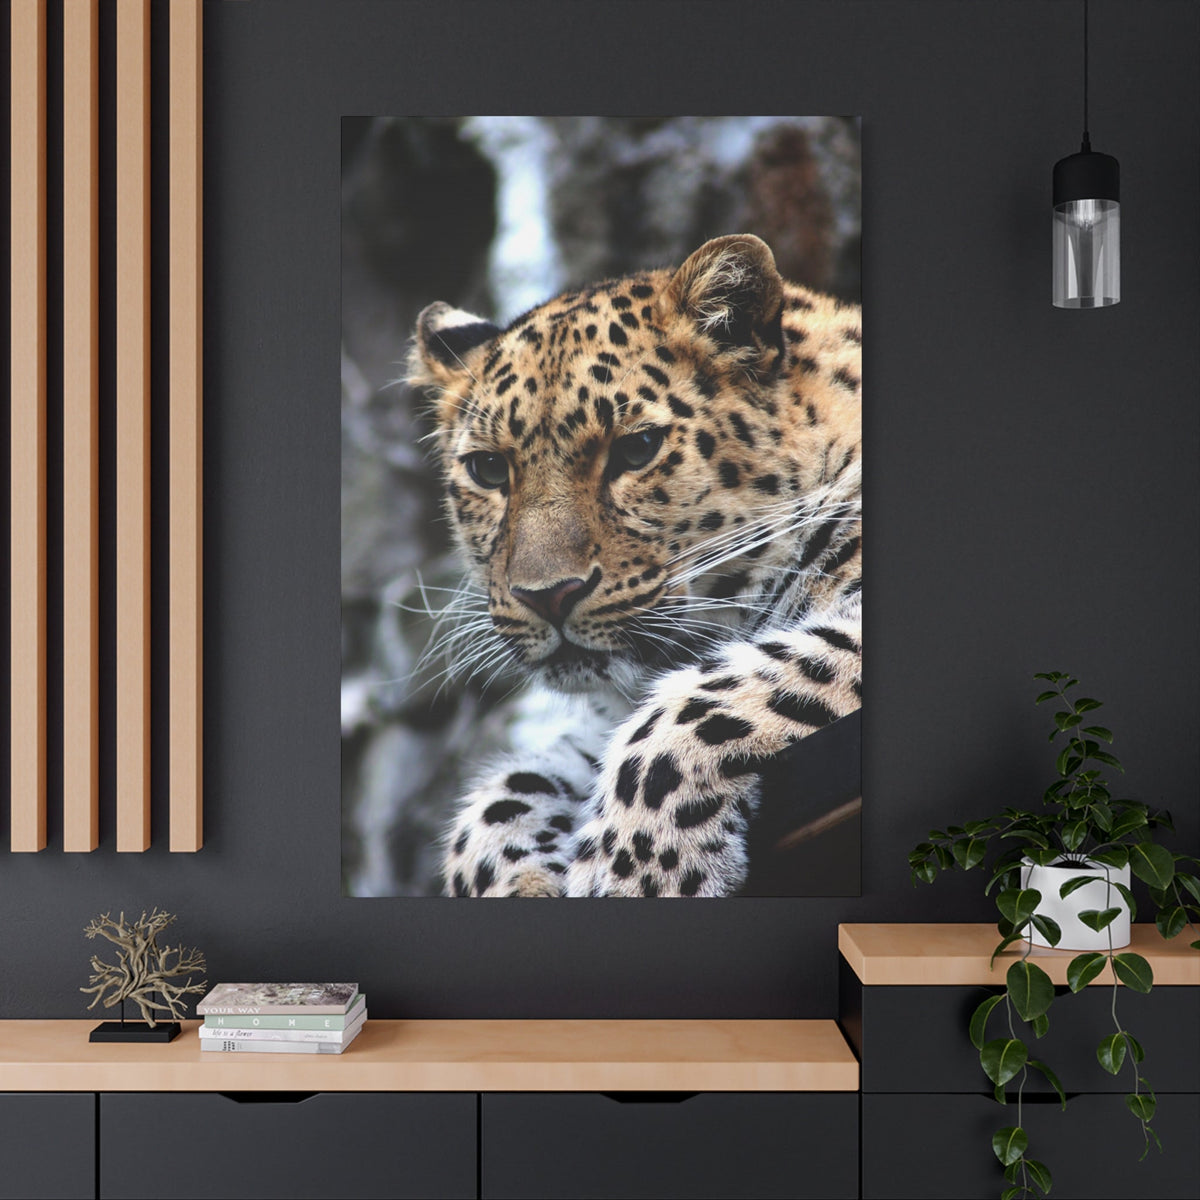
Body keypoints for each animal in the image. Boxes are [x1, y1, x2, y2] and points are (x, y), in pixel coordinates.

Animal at [408, 234, 861, 897]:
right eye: (489, 470)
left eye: (637, 449)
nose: (547, 595)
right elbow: (500, 798)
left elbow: (696, 705)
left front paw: (637, 874)